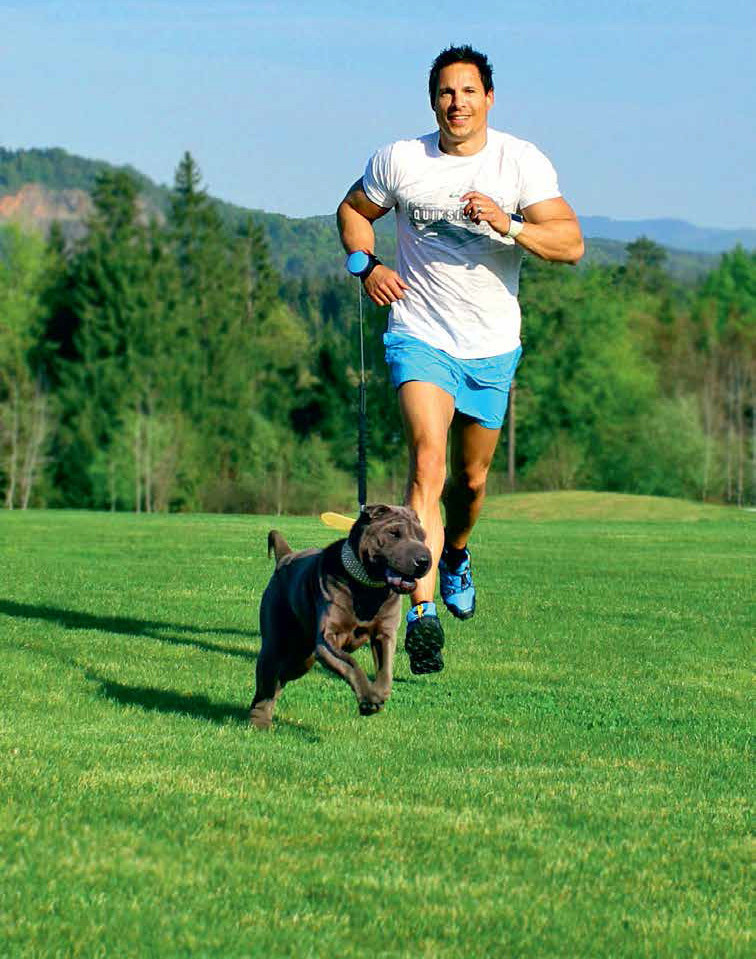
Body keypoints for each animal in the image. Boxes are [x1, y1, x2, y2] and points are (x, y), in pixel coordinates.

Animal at [249, 504, 431, 729]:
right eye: (393, 534)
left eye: (422, 536)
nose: (424, 560)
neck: (367, 590)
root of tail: (285, 557)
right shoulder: (328, 638)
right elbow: (351, 665)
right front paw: (368, 697)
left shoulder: (385, 634)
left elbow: (386, 669)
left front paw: (378, 694)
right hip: (276, 644)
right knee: (268, 680)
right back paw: (259, 721)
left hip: (302, 659)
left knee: (278, 680)